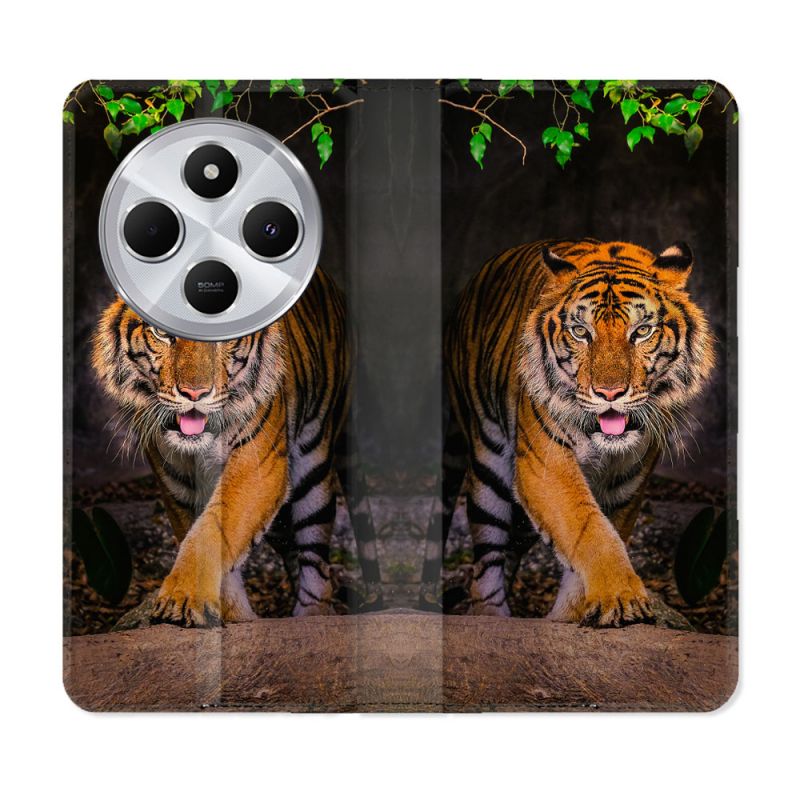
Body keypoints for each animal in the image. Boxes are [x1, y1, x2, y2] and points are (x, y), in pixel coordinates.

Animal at [92, 268, 382, 627]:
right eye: (162, 332)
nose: (195, 393)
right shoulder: (176, 486)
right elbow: (206, 538)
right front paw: (233, 616)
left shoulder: (257, 467)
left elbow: (213, 529)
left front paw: (181, 599)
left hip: (314, 468)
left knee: (316, 559)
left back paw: (311, 616)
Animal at [421, 239, 714, 627]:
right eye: (580, 333)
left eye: (641, 332)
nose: (609, 393)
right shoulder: (545, 467)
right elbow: (589, 529)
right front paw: (622, 597)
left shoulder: (627, 484)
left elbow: (600, 536)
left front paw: (572, 614)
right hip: (488, 467)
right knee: (486, 561)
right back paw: (491, 615)